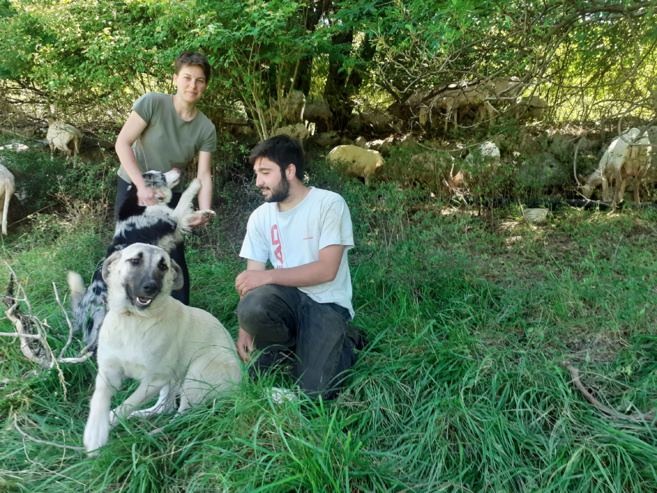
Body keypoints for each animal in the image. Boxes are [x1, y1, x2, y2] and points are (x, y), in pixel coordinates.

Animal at [66, 169, 213, 350]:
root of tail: (82, 310)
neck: (141, 203)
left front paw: (205, 213)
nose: (177, 169)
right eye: (161, 175)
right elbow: (185, 198)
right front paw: (196, 183)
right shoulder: (172, 219)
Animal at [83, 242, 242, 454]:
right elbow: (99, 400)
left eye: (163, 266)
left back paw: (152, 435)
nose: (151, 287)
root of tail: (244, 383)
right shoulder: (109, 372)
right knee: (165, 408)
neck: (133, 319)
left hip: (195, 374)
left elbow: (126, 404)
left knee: (183, 416)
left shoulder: (153, 380)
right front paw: (96, 430)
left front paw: (111, 422)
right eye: (135, 261)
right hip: (174, 379)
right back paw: (139, 418)